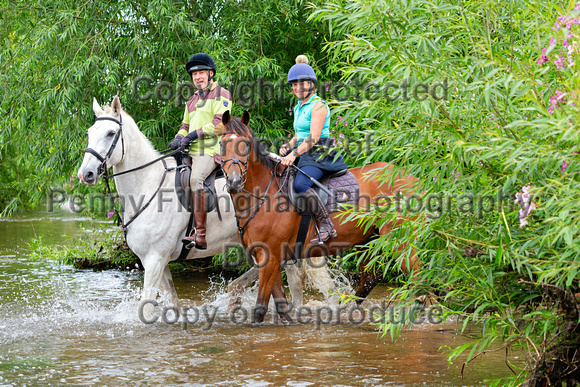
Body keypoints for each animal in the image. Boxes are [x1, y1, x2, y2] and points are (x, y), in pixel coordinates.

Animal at [77, 97, 336, 312]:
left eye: (111, 133)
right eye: (90, 132)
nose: (86, 174)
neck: (147, 184)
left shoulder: (154, 260)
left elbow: (147, 307)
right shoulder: (159, 262)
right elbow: (172, 301)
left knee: (294, 280)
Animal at [220, 110, 420, 322]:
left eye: (246, 144)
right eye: (222, 144)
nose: (234, 182)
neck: (265, 195)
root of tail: (411, 178)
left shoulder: (270, 256)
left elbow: (260, 308)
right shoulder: (268, 257)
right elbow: (281, 306)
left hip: (400, 240)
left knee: (417, 274)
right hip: (368, 241)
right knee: (370, 278)